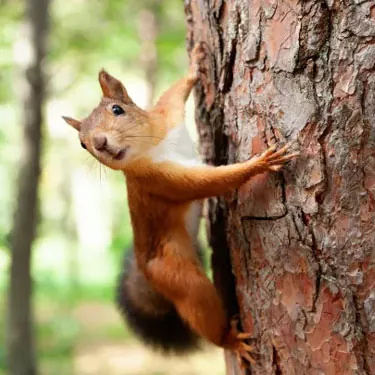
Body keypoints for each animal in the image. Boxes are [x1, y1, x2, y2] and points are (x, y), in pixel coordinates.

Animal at [63, 42, 300, 366]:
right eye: (82, 144)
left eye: (117, 109)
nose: (99, 143)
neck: (152, 144)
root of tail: (145, 270)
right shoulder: (160, 180)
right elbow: (210, 183)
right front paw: (260, 163)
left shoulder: (168, 116)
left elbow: (173, 94)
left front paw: (195, 64)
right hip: (175, 273)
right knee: (198, 303)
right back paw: (231, 340)